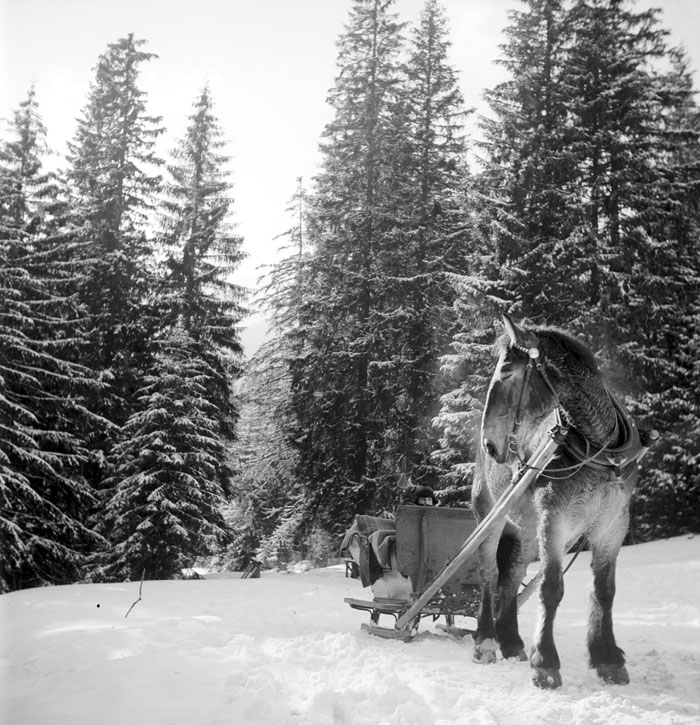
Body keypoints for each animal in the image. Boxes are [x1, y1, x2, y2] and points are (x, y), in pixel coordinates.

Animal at [474, 314, 648, 688]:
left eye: (506, 371)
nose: (490, 444)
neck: (600, 451)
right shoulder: (555, 520)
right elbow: (551, 587)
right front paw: (545, 662)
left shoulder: (612, 527)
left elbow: (604, 590)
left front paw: (607, 657)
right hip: (490, 515)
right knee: (488, 573)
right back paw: (486, 640)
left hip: (526, 529)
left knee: (511, 577)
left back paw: (511, 641)